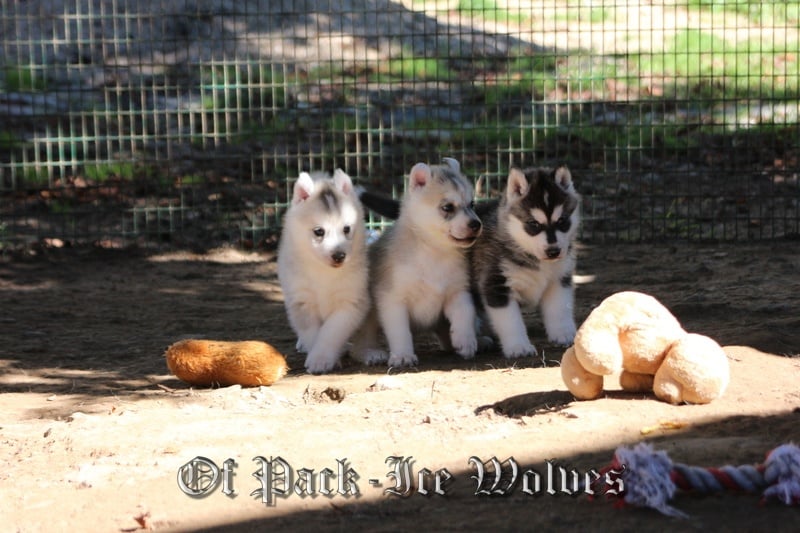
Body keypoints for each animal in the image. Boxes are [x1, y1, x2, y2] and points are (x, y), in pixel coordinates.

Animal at [278, 170, 368, 374]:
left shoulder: (350, 302)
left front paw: (323, 358)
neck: (324, 272)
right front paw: (317, 358)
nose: (339, 256)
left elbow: (330, 333)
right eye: (319, 231)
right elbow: (313, 334)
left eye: (346, 229)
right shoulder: (302, 302)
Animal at [354, 158, 482, 366]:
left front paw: (466, 341)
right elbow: (400, 332)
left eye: (472, 204)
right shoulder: (393, 300)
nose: (476, 224)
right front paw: (403, 355)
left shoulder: (458, 293)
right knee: (359, 343)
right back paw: (369, 353)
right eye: (447, 207)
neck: (434, 253)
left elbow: (465, 314)